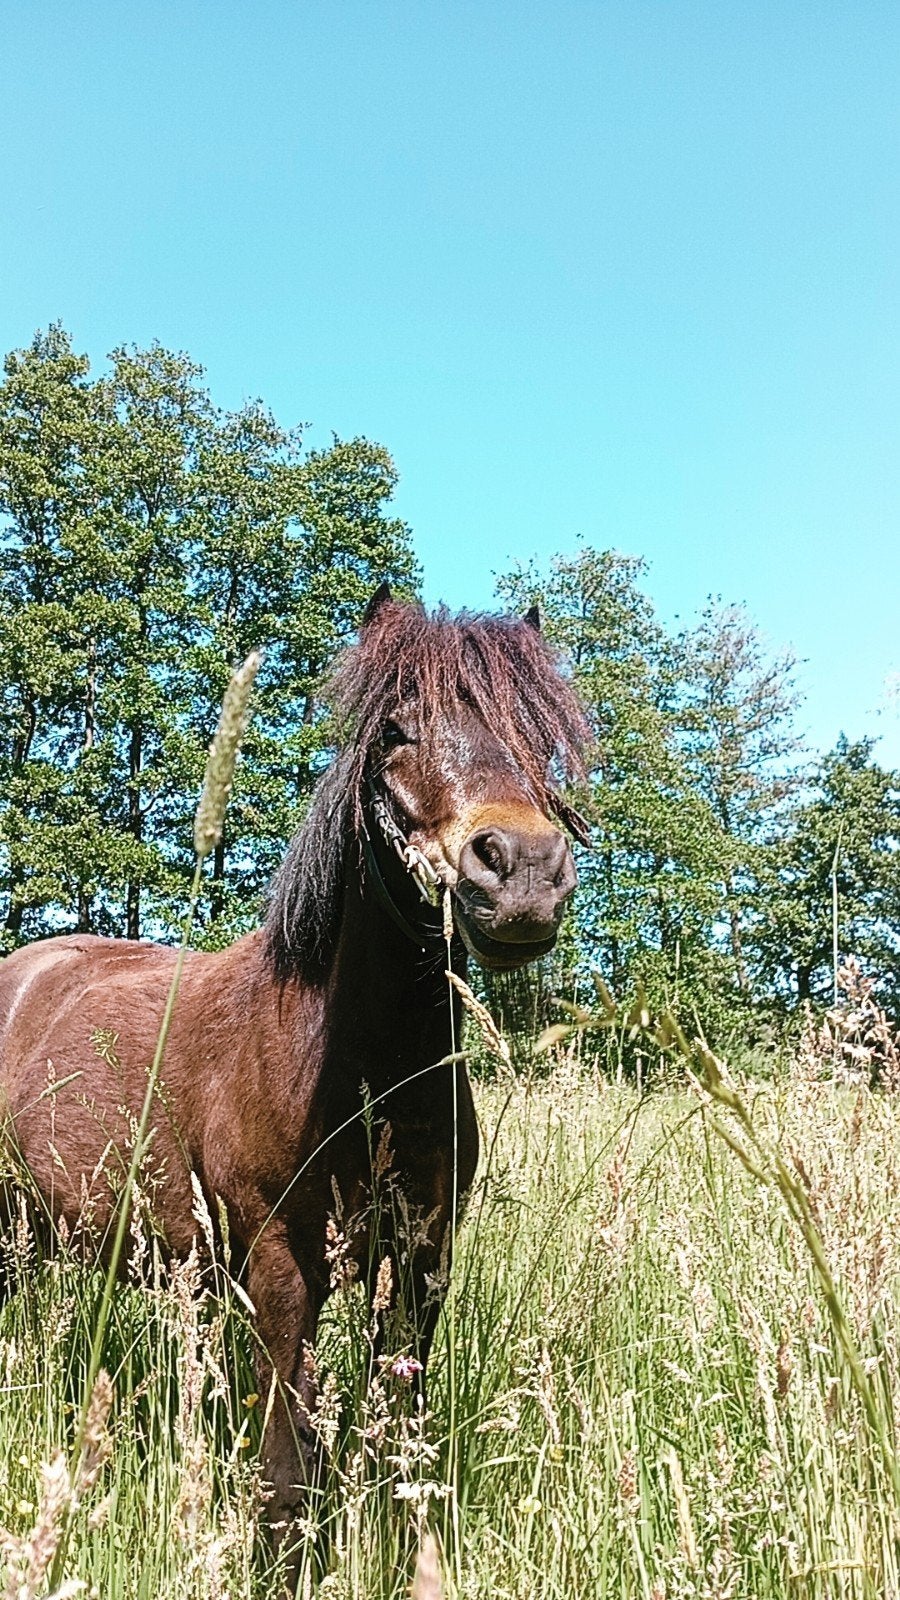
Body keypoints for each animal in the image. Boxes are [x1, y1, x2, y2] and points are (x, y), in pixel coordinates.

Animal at [0, 584, 590, 1564]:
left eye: (541, 736)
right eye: (395, 730)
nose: (521, 875)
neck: (357, 1068)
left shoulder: (422, 1263)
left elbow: (398, 1439)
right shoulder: (278, 1271)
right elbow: (287, 1469)